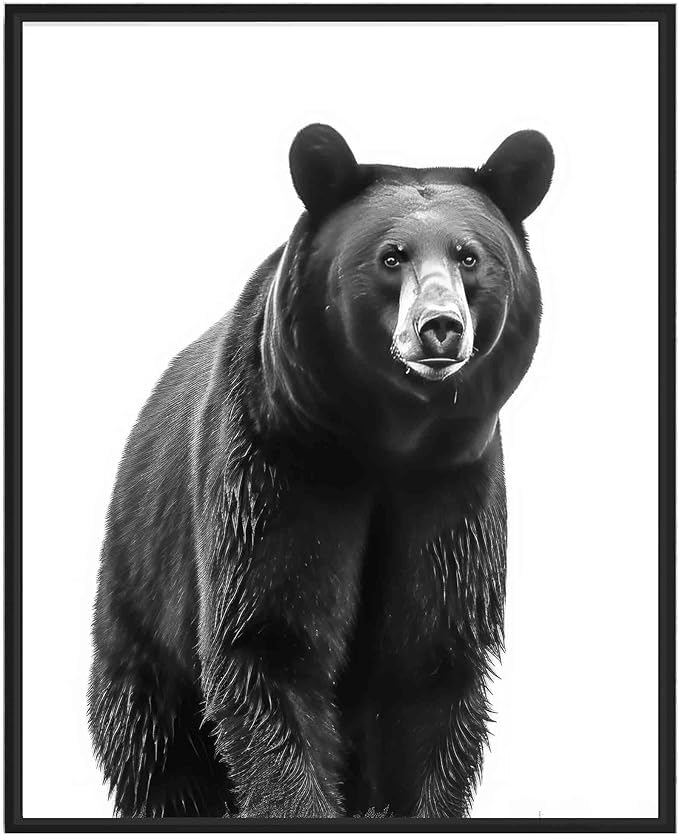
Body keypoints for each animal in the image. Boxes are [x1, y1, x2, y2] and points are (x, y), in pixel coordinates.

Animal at [88, 123, 553, 819]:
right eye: (391, 256)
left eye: (470, 257)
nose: (440, 327)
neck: (387, 440)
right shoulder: (279, 468)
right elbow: (270, 640)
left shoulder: (452, 489)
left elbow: (430, 661)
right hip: (142, 600)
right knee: (156, 748)